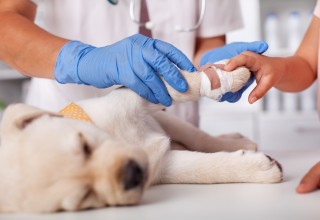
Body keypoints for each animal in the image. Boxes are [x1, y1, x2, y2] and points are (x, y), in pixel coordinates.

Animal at [0, 61, 282, 212]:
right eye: (84, 198)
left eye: (84, 145)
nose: (131, 174)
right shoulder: (163, 166)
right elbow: (203, 169)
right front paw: (256, 168)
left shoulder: (138, 95)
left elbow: (182, 87)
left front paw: (232, 76)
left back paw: (235, 137)